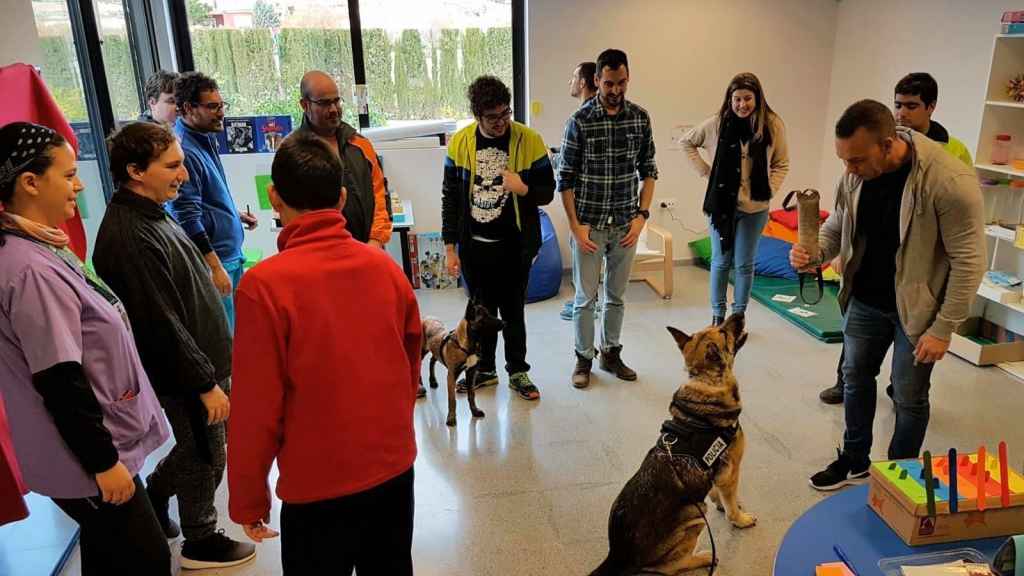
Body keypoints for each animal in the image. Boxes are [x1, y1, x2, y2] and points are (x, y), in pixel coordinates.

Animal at [589, 313, 757, 573]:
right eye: (724, 332)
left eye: (718, 327)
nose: (739, 314)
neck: (706, 381)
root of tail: (619, 554)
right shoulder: (731, 472)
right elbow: (731, 507)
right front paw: (739, 518)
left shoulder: (718, 473)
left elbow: (716, 491)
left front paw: (719, 500)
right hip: (695, 517)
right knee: (670, 567)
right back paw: (704, 557)